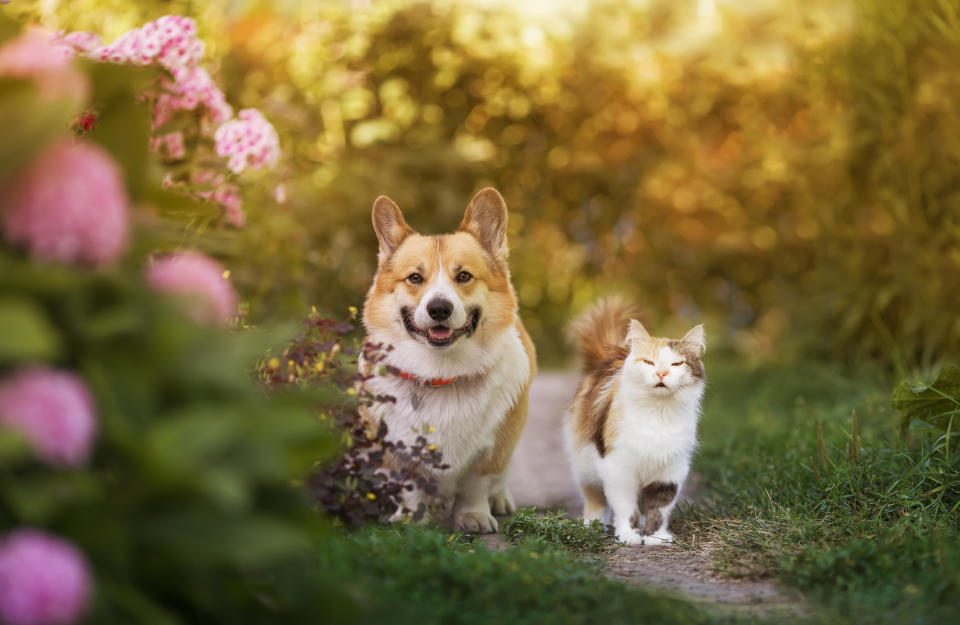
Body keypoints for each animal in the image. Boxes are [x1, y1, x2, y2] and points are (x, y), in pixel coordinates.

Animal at [362, 186, 540, 532]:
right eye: (415, 278)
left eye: (464, 276)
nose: (439, 309)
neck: (441, 373)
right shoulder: (397, 451)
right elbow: (411, 486)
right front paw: (411, 517)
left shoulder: (492, 448)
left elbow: (476, 483)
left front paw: (474, 516)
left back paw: (500, 499)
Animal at [564, 298, 704, 544]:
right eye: (649, 362)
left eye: (676, 365)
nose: (661, 373)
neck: (658, 413)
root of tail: (608, 358)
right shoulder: (618, 468)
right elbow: (626, 508)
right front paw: (629, 535)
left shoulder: (670, 471)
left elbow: (659, 509)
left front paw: (655, 538)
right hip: (586, 466)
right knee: (595, 500)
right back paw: (592, 527)